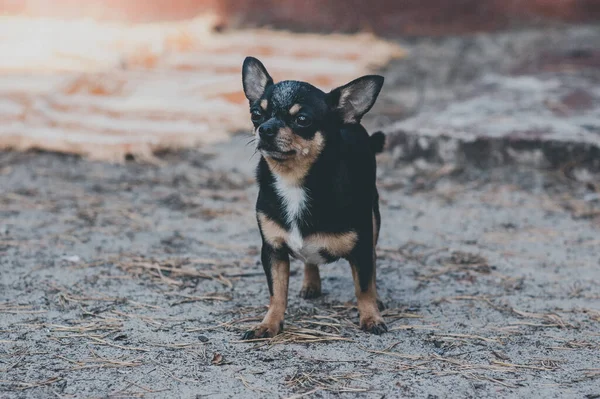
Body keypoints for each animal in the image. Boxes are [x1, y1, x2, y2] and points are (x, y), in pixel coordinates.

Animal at [241, 55, 386, 338]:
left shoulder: (361, 247)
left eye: (302, 119)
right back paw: (311, 283)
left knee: (373, 263)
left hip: (374, 220)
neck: (294, 182)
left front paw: (371, 317)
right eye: (256, 114)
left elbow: (363, 287)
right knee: (309, 260)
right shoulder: (273, 251)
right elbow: (277, 292)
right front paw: (269, 323)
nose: (265, 129)